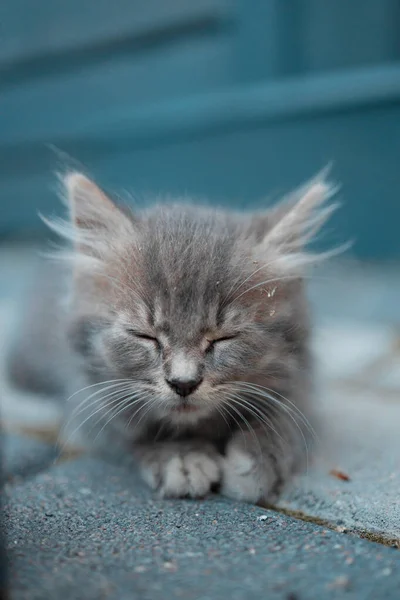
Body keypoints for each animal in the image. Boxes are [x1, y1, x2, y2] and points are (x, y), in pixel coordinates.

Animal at [7, 171, 338, 504]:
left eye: (224, 338)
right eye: (145, 336)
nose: (183, 383)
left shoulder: (303, 384)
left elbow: (287, 421)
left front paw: (256, 459)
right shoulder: (87, 402)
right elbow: (132, 433)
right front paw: (180, 456)